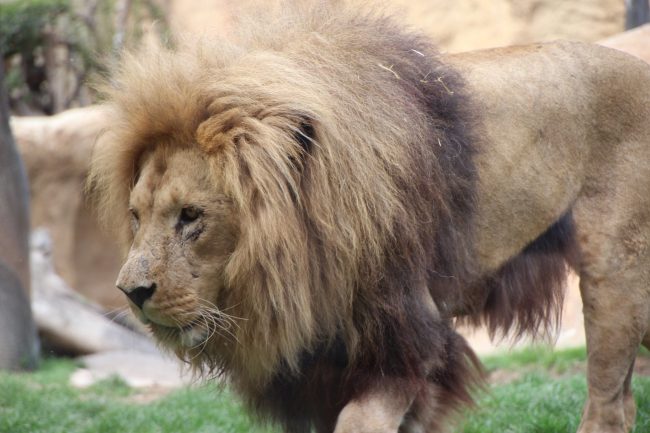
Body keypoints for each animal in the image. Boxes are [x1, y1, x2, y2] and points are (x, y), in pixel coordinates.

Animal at [88, 4, 650, 433]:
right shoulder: (317, 370)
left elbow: (362, 420)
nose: (130, 292)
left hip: (614, 278)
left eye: (191, 216)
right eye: (136, 217)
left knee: (607, 405)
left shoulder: (406, 339)